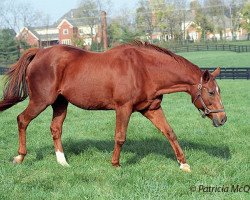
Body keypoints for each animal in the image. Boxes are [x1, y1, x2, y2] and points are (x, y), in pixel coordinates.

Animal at [0, 41, 227, 172]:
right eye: (211, 92)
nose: (222, 118)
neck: (144, 69)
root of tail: (39, 53)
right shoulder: (123, 108)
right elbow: (120, 137)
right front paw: (116, 164)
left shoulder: (151, 109)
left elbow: (170, 133)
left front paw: (183, 163)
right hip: (40, 101)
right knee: (22, 120)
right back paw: (20, 157)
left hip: (60, 103)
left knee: (55, 129)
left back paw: (63, 162)